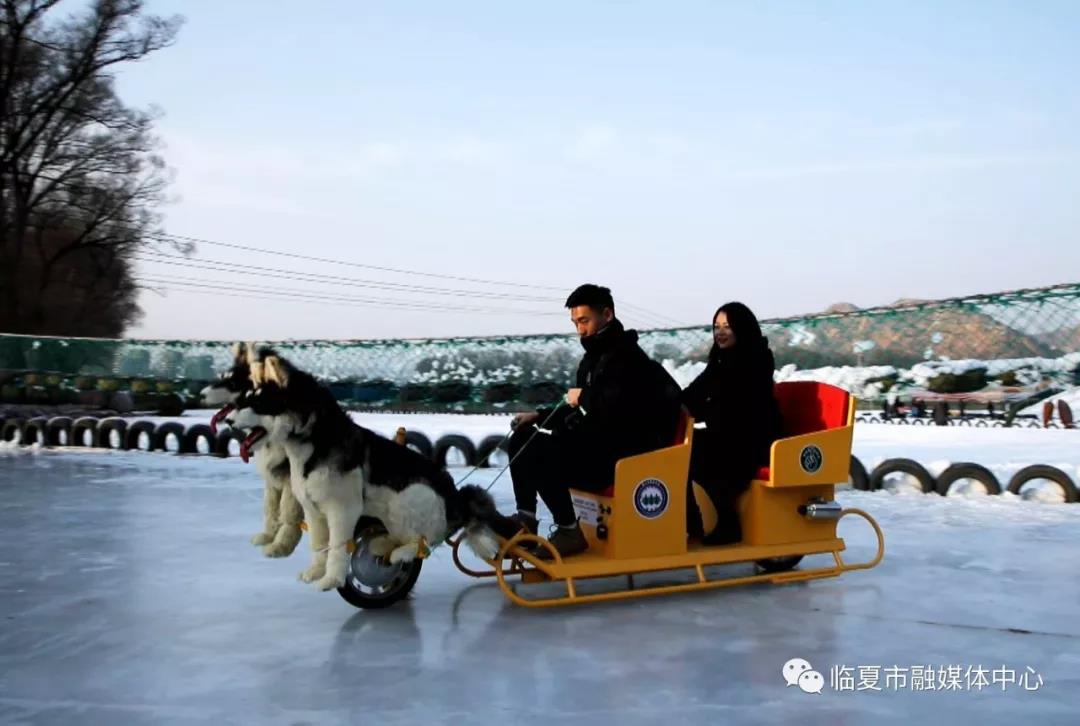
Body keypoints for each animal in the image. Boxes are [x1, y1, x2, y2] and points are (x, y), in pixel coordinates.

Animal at [201, 343, 304, 557]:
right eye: (222, 377)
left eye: (233, 383)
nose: (201, 394)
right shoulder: (272, 482)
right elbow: (271, 509)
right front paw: (269, 537)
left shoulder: (290, 483)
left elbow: (287, 513)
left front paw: (280, 545)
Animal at [224, 354, 509, 592]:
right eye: (246, 398)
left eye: (259, 402)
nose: (227, 420)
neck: (312, 446)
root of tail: (457, 499)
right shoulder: (314, 510)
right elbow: (319, 545)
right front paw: (315, 572)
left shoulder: (342, 510)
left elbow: (337, 547)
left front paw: (332, 579)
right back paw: (382, 545)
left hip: (408, 497)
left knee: (424, 543)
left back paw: (398, 553)